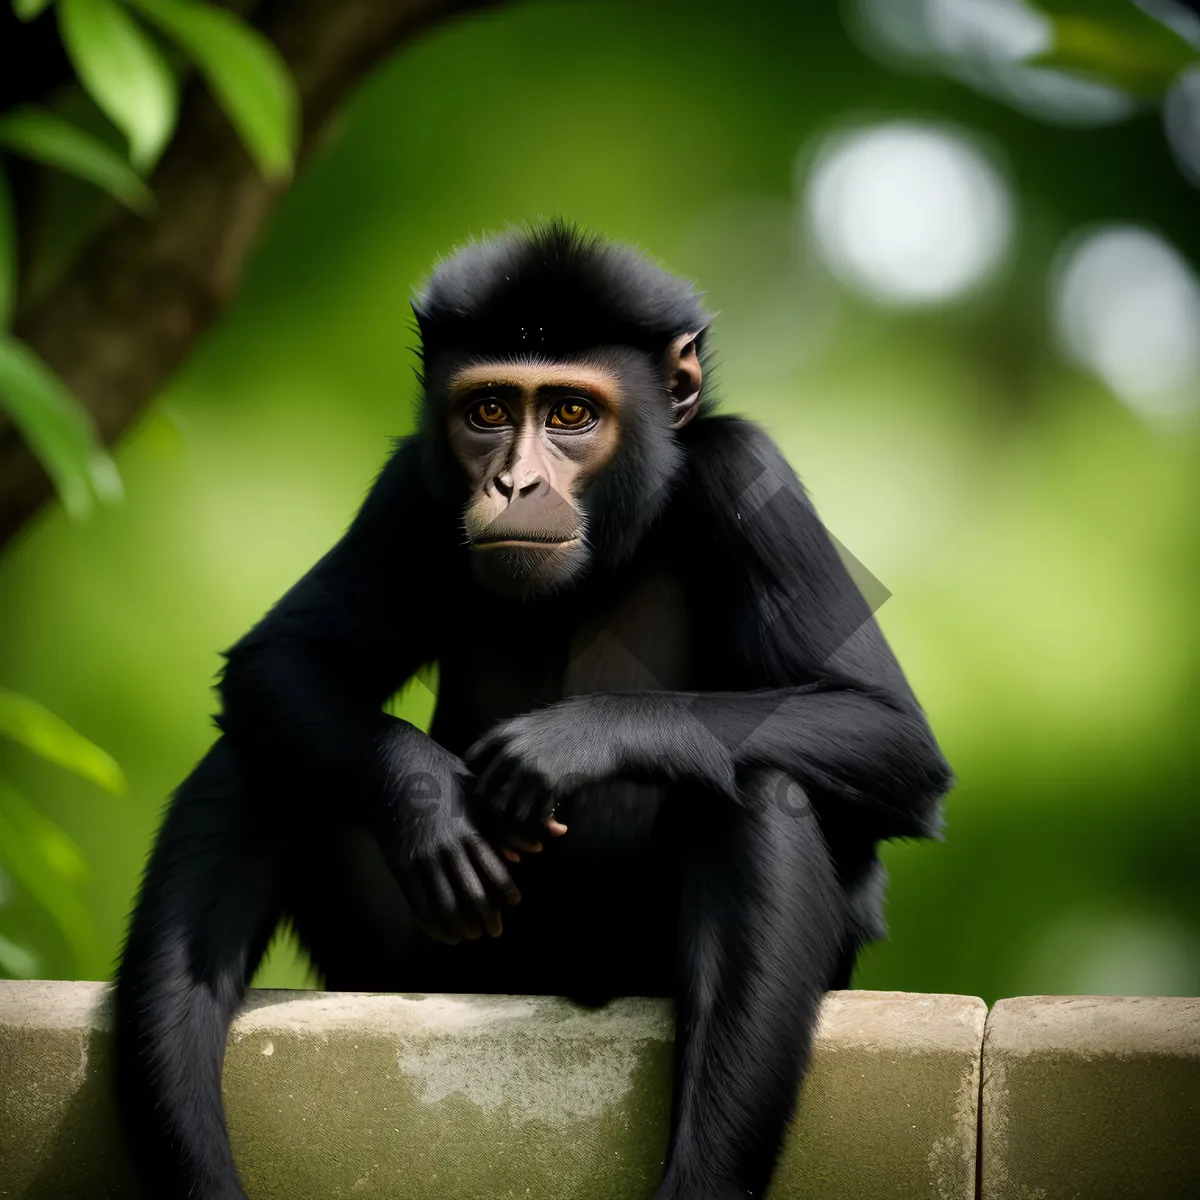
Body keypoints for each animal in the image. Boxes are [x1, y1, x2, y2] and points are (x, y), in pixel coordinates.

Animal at [117, 220, 950, 1195]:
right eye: (487, 412)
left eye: (570, 415)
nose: (514, 483)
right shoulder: (412, 482)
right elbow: (277, 661)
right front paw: (428, 797)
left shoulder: (748, 470)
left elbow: (889, 731)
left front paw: (569, 741)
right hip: (441, 970)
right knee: (252, 759)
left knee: (761, 788)